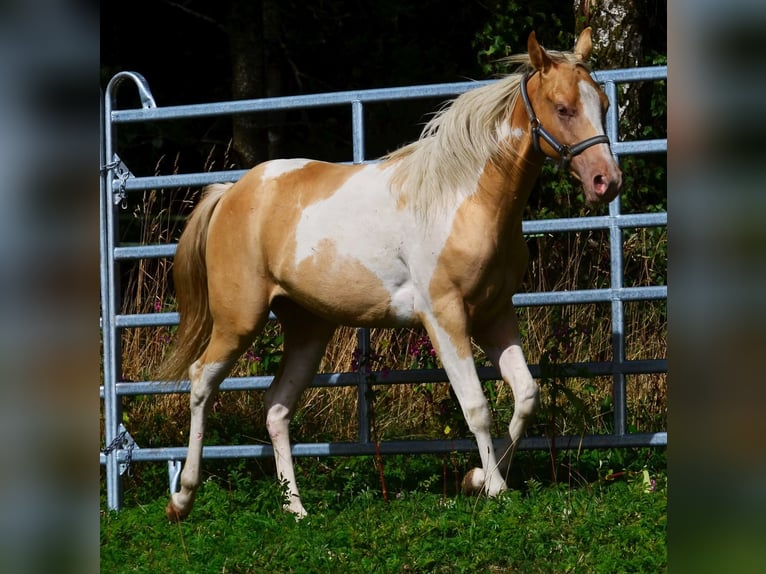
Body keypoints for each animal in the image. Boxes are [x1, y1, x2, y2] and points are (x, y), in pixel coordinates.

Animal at [159, 28, 621, 520]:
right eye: (563, 107)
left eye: (602, 104)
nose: (606, 182)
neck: (462, 200)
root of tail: (231, 193)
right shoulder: (444, 316)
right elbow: (476, 404)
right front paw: (494, 487)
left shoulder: (495, 316)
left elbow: (526, 395)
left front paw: (478, 478)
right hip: (238, 320)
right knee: (201, 381)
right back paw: (182, 499)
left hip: (307, 329)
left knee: (277, 407)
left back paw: (296, 508)